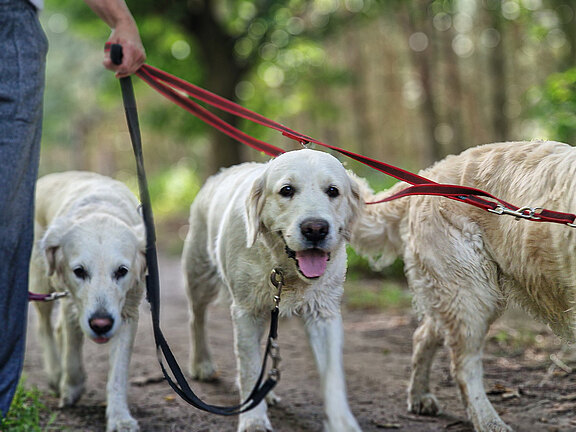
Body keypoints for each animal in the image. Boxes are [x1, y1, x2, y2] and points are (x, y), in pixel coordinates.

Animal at [29, 170, 147, 432]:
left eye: (121, 271)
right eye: (79, 271)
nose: (101, 325)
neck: (100, 208)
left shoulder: (127, 311)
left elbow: (117, 374)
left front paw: (120, 418)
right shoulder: (72, 303)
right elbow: (71, 356)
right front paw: (71, 388)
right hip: (41, 281)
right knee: (44, 327)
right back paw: (55, 374)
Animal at [182, 149, 362, 432]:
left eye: (333, 191)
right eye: (286, 190)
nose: (315, 229)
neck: (285, 269)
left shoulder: (323, 314)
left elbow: (333, 374)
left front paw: (341, 423)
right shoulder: (245, 311)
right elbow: (249, 367)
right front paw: (254, 420)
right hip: (200, 275)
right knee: (196, 318)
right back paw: (202, 363)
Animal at [352, 140, 576, 430]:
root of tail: (432, 173)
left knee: (422, 335)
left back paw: (420, 396)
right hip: (471, 292)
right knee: (463, 366)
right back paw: (488, 421)